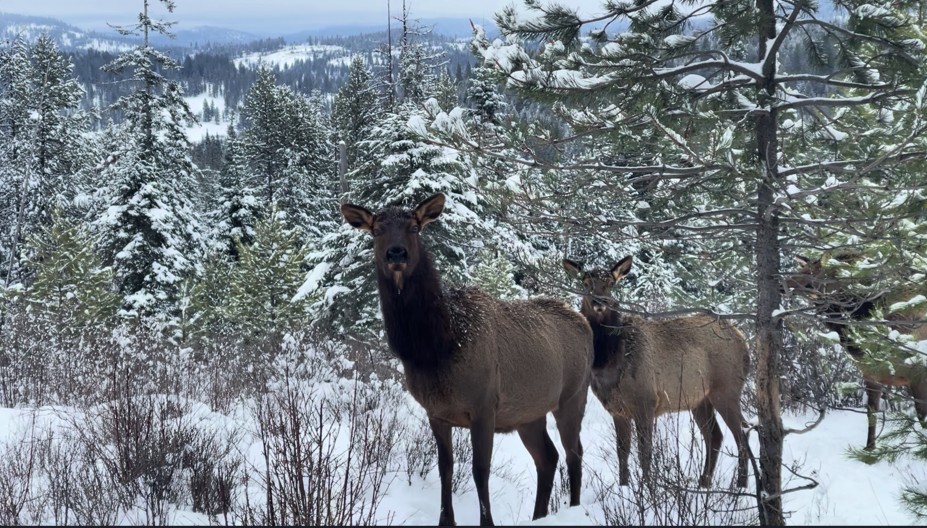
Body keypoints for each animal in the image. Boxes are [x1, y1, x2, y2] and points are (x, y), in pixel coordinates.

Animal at [341, 193, 593, 526]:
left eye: (415, 227)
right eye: (376, 230)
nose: (397, 253)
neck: (435, 349)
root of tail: (586, 324)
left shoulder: (484, 405)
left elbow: (479, 470)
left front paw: (487, 521)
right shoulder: (436, 412)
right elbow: (445, 468)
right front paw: (445, 520)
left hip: (573, 396)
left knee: (573, 452)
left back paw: (573, 509)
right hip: (528, 412)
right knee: (548, 457)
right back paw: (539, 516)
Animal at [562, 255, 750, 488]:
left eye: (611, 283)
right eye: (585, 283)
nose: (599, 303)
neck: (609, 362)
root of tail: (743, 340)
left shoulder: (646, 401)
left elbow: (645, 452)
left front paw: (648, 488)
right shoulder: (617, 409)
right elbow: (622, 452)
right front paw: (624, 486)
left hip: (726, 388)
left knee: (743, 434)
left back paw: (741, 484)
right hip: (699, 399)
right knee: (716, 435)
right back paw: (704, 482)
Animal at [786, 253, 927, 450]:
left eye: (810, 274)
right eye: (801, 269)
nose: (783, 284)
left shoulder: (918, 374)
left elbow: (922, 419)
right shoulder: (871, 375)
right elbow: (871, 413)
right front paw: (869, 449)